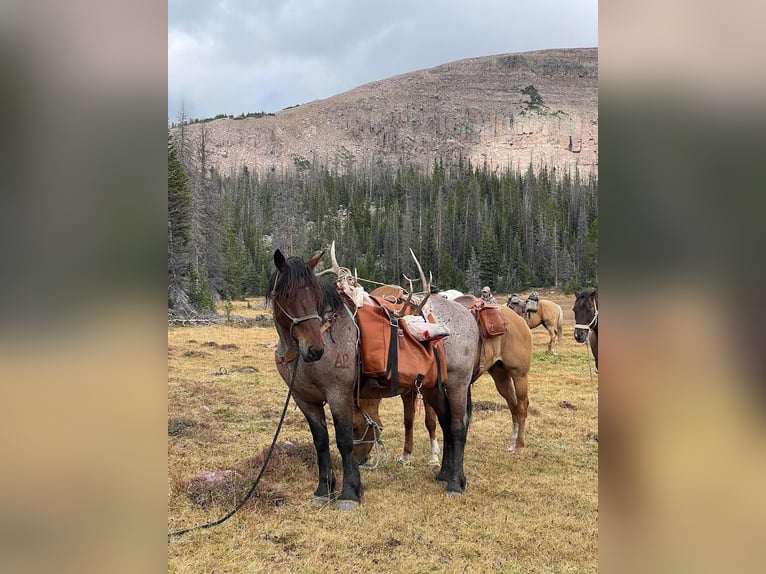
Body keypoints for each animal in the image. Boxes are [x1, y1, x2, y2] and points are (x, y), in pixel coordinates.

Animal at [268, 246, 476, 508]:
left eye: (315, 294)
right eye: (286, 295)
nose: (314, 349)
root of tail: (468, 316)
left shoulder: (339, 394)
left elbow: (344, 440)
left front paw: (349, 493)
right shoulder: (304, 399)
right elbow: (321, 442)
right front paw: (323, 490)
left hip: (458, 384)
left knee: (458, 425)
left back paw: (456, 483)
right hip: (432, 387)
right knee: (446, 421)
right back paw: (444, 474)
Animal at [356, 300, 532, 466]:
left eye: (357, 428)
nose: (362, 460)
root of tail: (518, 319)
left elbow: (430, 422)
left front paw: (434, 456)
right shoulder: (408, 391)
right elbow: (408, 421)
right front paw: (406, 455)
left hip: (519, 374)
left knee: (522, 407)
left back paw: (519, 447)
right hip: (500, 375)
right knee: (513, 405)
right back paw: (512, 444)